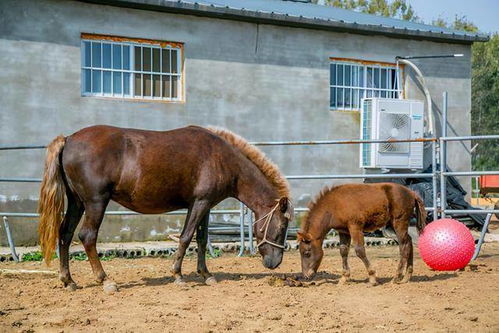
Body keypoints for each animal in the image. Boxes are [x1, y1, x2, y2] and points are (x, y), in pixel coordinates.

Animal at [40, 124, 296, 290]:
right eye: (282, 227)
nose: (275, 263)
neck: (221, 158)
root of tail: (69, 139)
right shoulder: (199, 203)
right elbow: (186, 237)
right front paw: (178, 275)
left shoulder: (204, 205)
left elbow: (201, 239)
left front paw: (206, 274)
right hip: (95, 202)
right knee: (87, 236)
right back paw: (105, 280)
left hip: (77, 202)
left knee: (65, 234)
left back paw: (68, 281)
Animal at [298, 183, 428, 284]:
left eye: (307, 253)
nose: (306, 276)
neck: (333, 205)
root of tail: (412, 193)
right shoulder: (343, 231)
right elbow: (343, 251)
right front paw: (344, 278)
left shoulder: (355, 227)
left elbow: (359, 250)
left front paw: (372, 277)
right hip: (394, 224)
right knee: (409, 242)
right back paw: (406, 277)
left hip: (399, 222)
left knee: (404, 246)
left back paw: (396, 278)